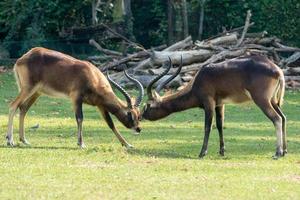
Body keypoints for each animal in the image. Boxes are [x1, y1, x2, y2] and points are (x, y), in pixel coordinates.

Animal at [5, 47, 144, 148]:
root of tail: (22, 58)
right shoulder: (76, 98)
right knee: (13, 105)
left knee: (23, 108)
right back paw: (10, 141)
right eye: (129, 113)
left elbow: (110, 124)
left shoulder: (100, 105)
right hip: (28, 89)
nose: (138, 129)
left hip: (36, 92)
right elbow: (80, 118)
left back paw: (24, 140)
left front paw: (127, 144)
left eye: (138, 114)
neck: (92, 76)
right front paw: (81, 143)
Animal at [142, 54, 288, 159]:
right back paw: (285, 151)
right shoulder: (220, 104)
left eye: (148, 105)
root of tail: (277, 71)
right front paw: (222, 151)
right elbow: (219, 125)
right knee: (283, 117)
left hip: (262, 100)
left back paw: (277, 153)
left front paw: (202, 153)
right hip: (273, 101)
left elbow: (207, 127)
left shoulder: (209, 103)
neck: (199, 79)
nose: (141, 116)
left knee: (276, 119)